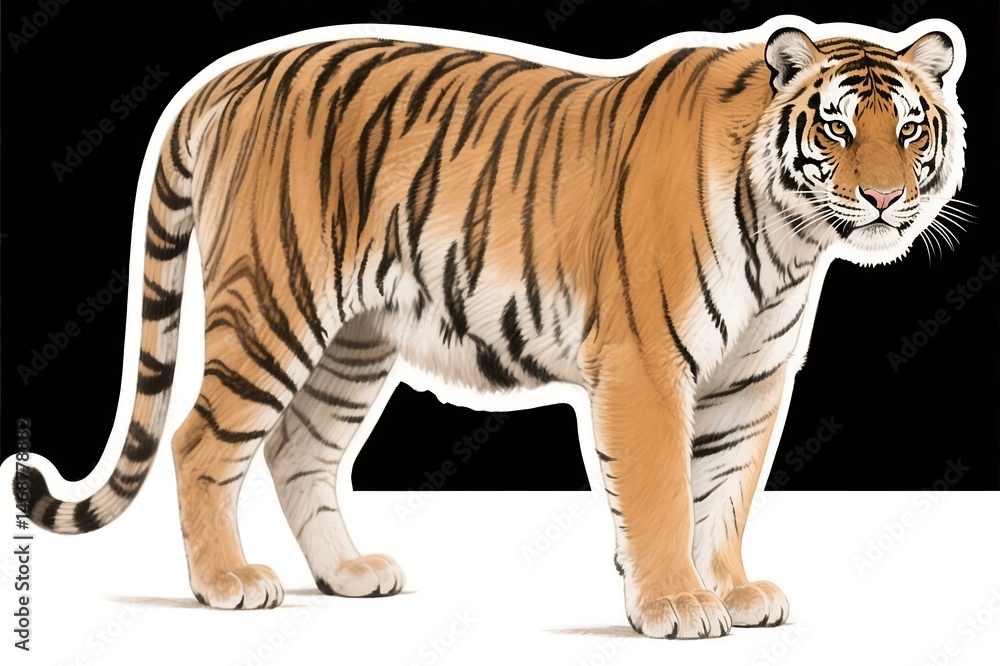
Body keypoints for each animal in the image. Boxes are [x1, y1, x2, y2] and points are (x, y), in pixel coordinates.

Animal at [15, 23, 965, 639]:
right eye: (836, 127)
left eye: (909, 127)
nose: (885, 198)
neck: (788, 238)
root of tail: (228, 76)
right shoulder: (648, 365)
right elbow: (662, 492)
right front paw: (673, 604)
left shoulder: (751, 380)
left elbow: (724, 494)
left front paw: (729, 591)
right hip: (271, 307)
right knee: (201, 442)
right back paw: (226, 585)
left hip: (353, 339)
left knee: (299, 448)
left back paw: (348, 575)